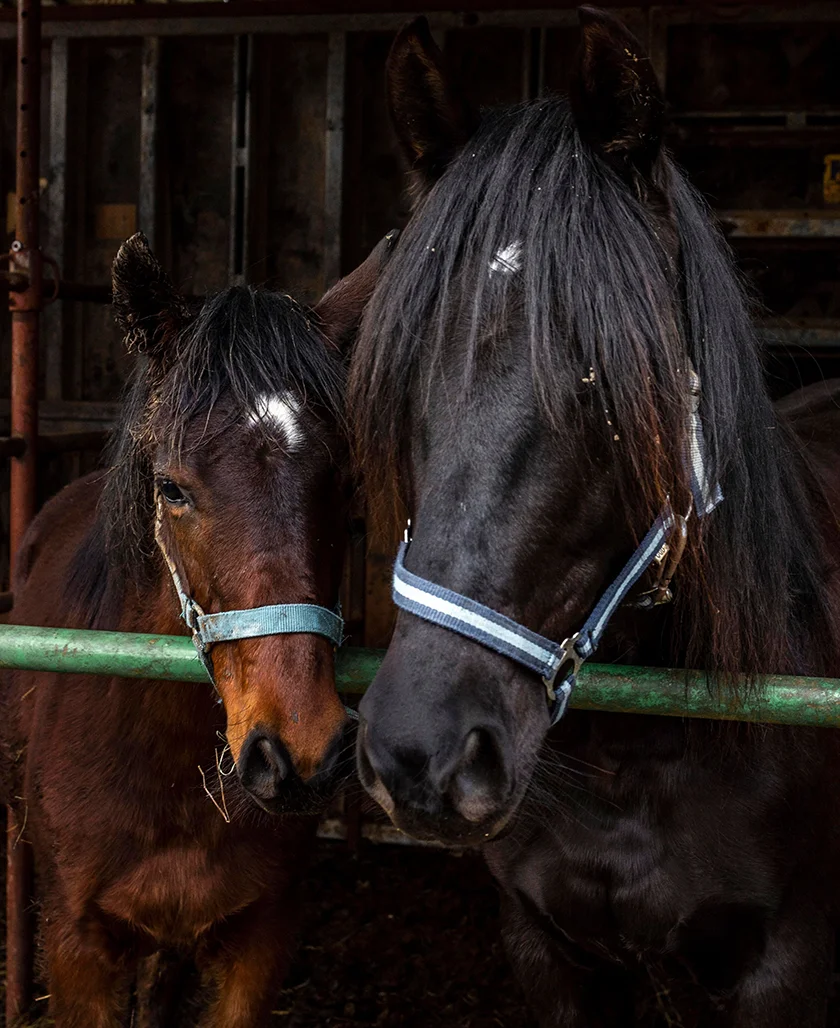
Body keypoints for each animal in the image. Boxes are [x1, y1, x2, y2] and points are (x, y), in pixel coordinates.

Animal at [349, 10, 840, 1026]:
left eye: (602, 385)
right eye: (407, 376)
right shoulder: (544, 949)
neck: (633, 755)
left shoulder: (787, 964)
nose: (418, 750)